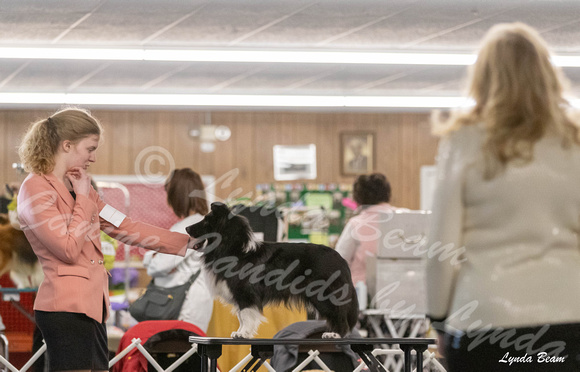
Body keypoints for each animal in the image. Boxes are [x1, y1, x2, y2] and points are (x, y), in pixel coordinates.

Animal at [186, 202, 358, 338]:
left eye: (206, 221)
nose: (186, 227)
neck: (235, 250)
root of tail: (340, 259)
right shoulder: (240, 295)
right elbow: (241, 315)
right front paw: (241, 332)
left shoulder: (245, 292)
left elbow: (245, 313)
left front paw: (243, 333)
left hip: (324, 294)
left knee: (339, 314)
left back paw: (335, 334)